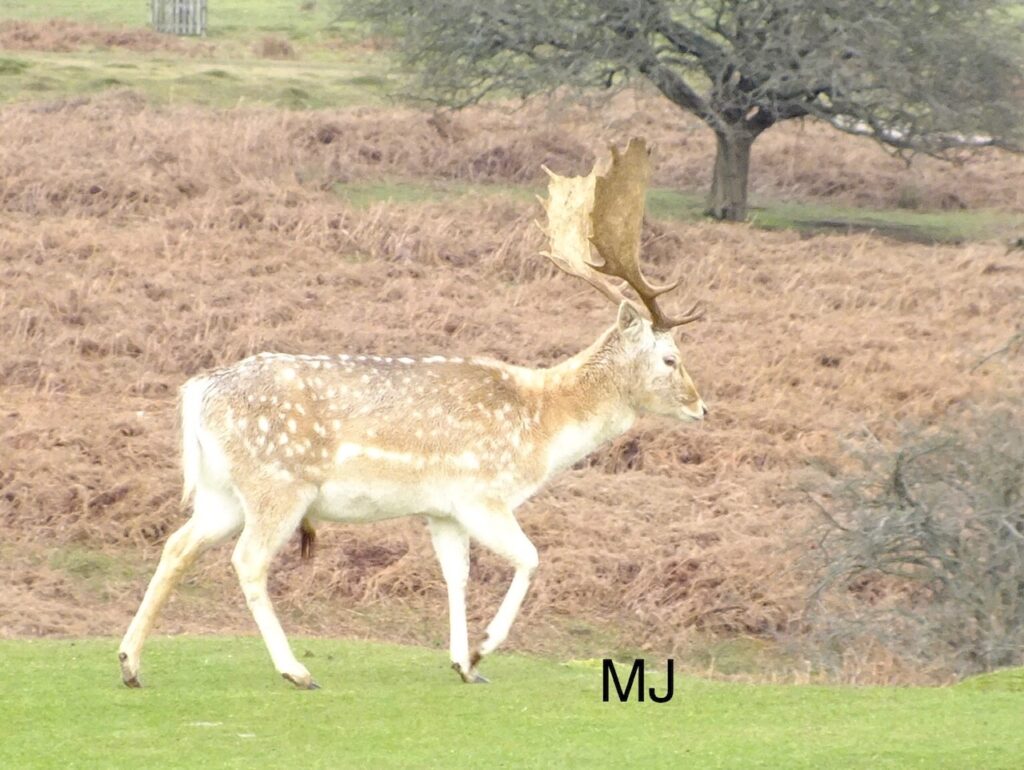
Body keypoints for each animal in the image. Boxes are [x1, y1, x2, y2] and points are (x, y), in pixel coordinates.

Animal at [118, 138, 708, 689]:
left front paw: (463, 664)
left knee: (177, 545)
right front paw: (483, 649)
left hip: (221, 491)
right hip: (277, 483)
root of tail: (197, 392)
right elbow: (530, 558)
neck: (541, 425)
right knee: (247, 561)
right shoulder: (481, 493)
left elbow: (457, 575)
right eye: (670, 357)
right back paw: (295, 670)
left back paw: (130, 663)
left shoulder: (443, 510)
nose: (702, 407)